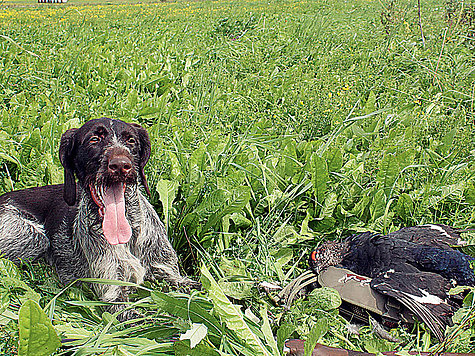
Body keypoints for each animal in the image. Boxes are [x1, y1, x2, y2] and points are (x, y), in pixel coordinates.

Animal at [0, 118, 199, 318]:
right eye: (94, 139)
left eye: (131, 140)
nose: (120, 165)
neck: (128, 235)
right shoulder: (114, 292)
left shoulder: (167, 270)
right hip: (34, 237)